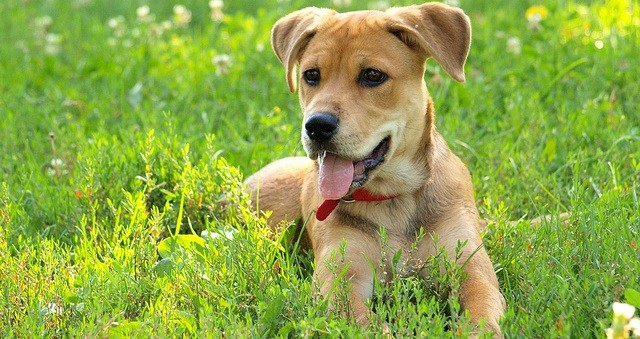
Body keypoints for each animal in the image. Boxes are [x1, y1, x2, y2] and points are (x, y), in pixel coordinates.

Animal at [245, 2, 504, 338]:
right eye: (311, 75)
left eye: (372, 75)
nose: (317, 126)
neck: (394, 199)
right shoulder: (341, 279)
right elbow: (370, 326)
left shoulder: (469, 266)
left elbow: (481, 316)